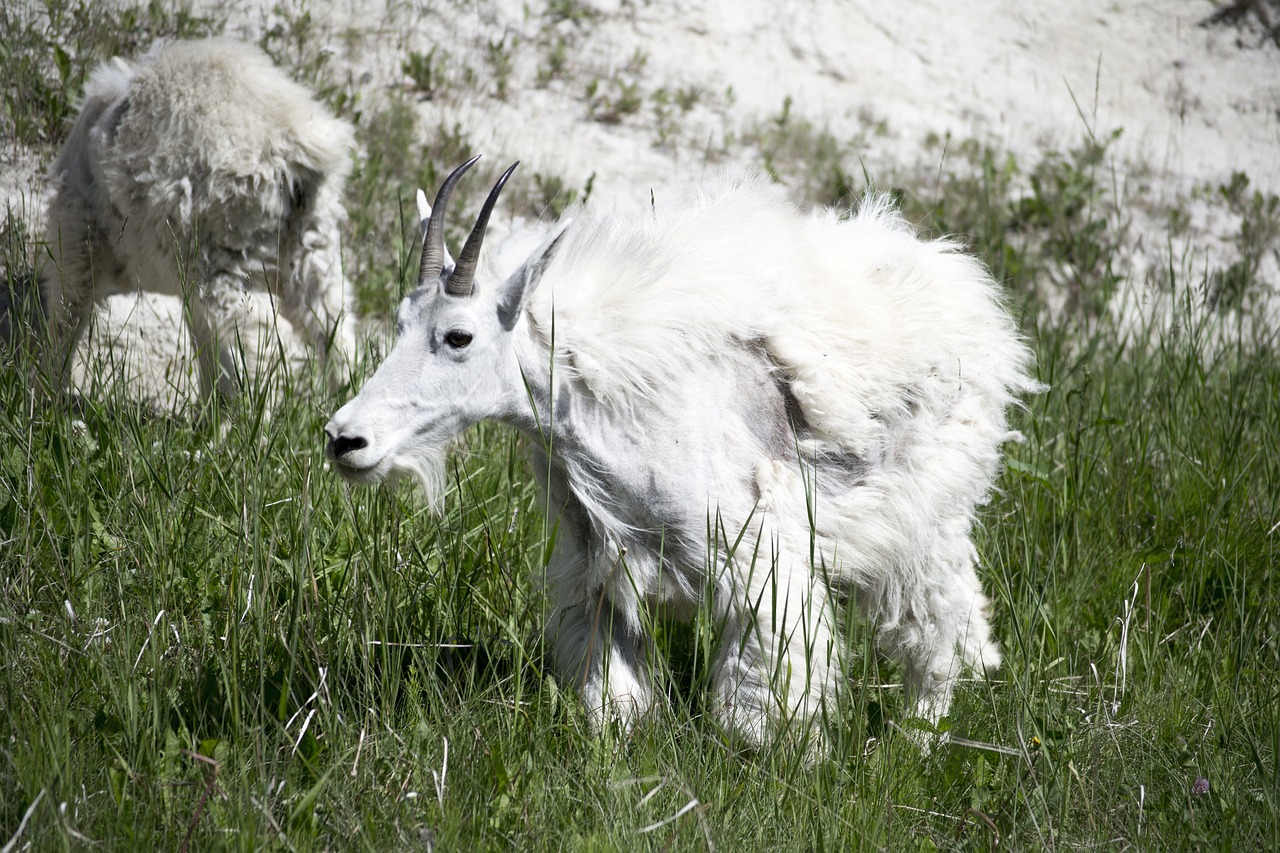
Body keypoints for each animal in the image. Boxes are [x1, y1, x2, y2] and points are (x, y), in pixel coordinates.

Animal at [41, 36, 355, 399]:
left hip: (221, 249)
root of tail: (293, 144)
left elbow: (67, 313)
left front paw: (46, 393)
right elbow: (203, 341)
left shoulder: (76, 232)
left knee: (247, 337)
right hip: (312, 244)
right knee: (334, 326)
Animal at [322, 157, 1039, 742]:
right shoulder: (599, 570)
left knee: (941, 622)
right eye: (399, 323)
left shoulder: (758, 559)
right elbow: (612, 691)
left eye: (459, 336)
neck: (595, 403)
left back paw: (917, 736)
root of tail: (969, 293)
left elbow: (755, 701)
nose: (345, 439)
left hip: (927, 515)